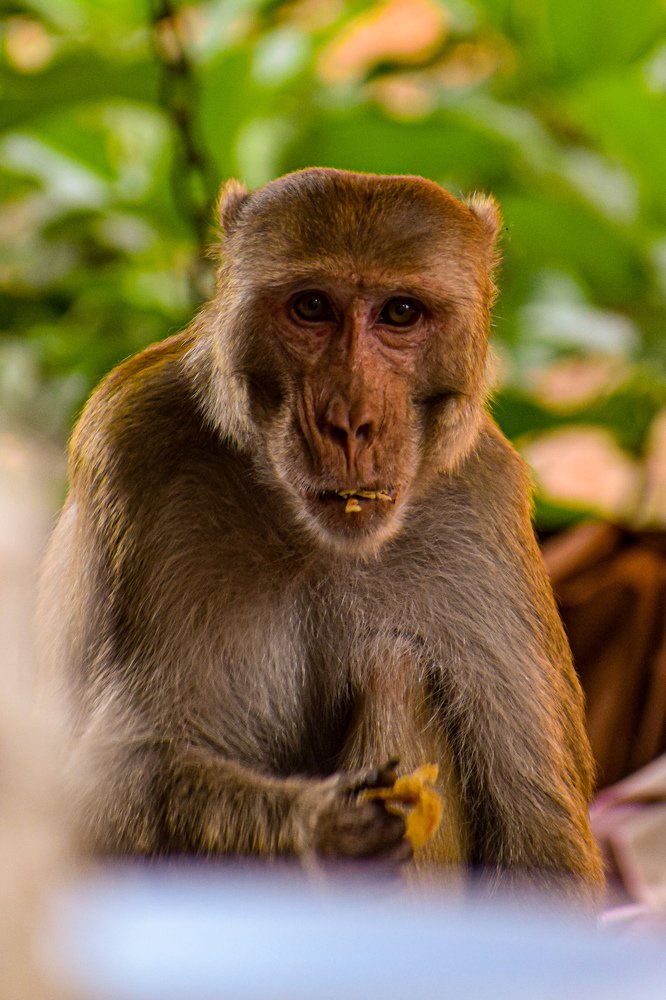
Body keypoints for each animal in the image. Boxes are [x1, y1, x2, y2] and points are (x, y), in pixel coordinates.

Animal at [38, 167, 603, 897]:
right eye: (311, 307)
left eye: (400, 313)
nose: (351, 421)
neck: (307, 535)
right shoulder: (130, 449)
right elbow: (102, 789)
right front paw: (318, 828)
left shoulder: (482, 504)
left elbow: (540, 837)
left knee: (396, 669)